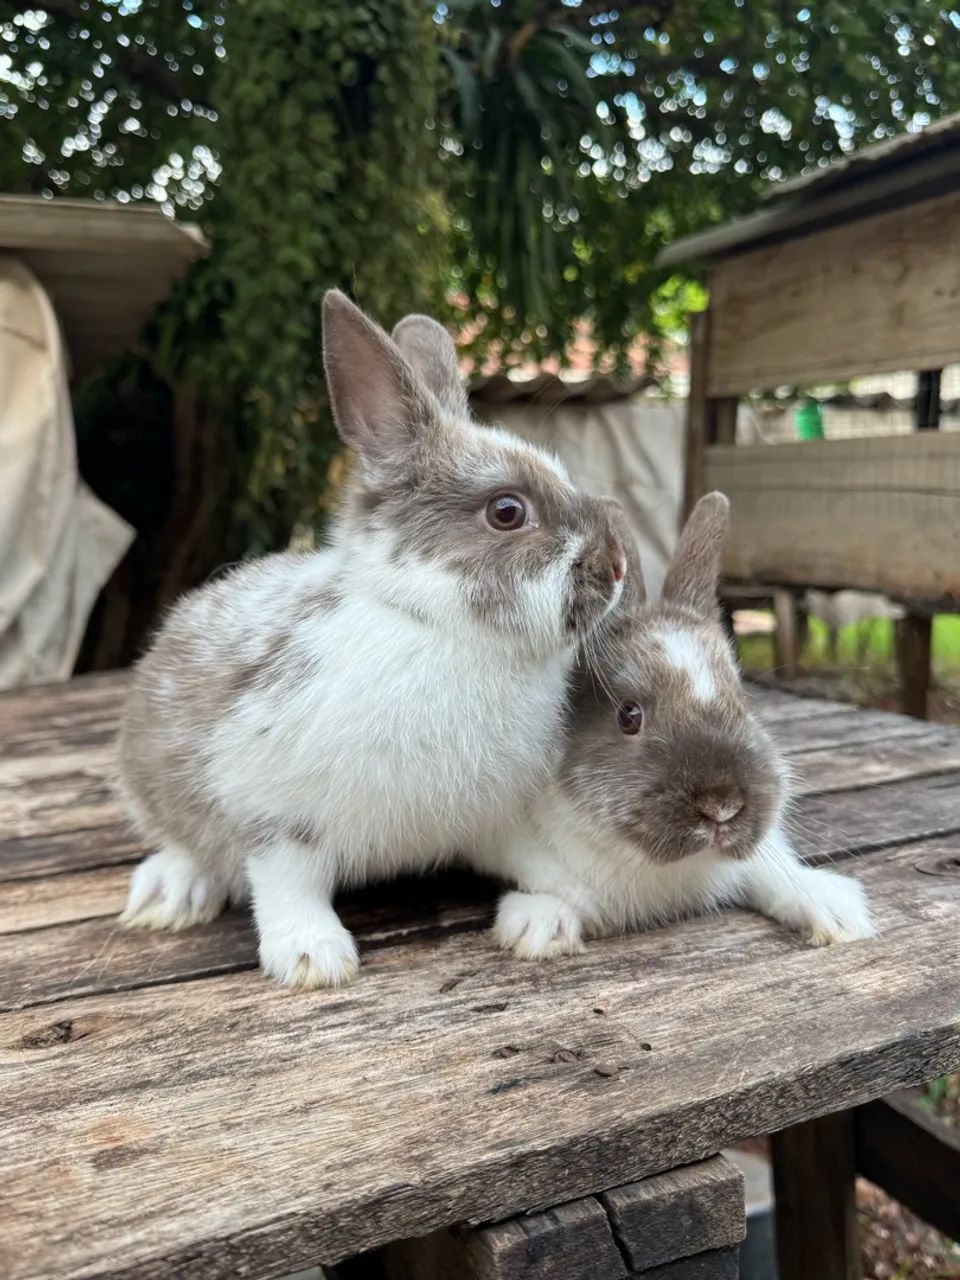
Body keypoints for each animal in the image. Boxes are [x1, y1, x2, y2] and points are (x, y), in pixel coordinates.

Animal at [118, 290, 628, 988]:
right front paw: (313, 959)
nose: (618, 566)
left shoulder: (494, 814)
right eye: (507, 511)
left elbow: (536, 859)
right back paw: (170, 893)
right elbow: (287, 884)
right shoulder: (277, 818)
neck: (441, 627)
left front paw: (564, 908)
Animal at [472, 492, 874, 958]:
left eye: (741, 700)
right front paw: (540, 925)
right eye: (629, 716)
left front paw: (836, 910)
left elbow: (772, 872)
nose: (722, 806)